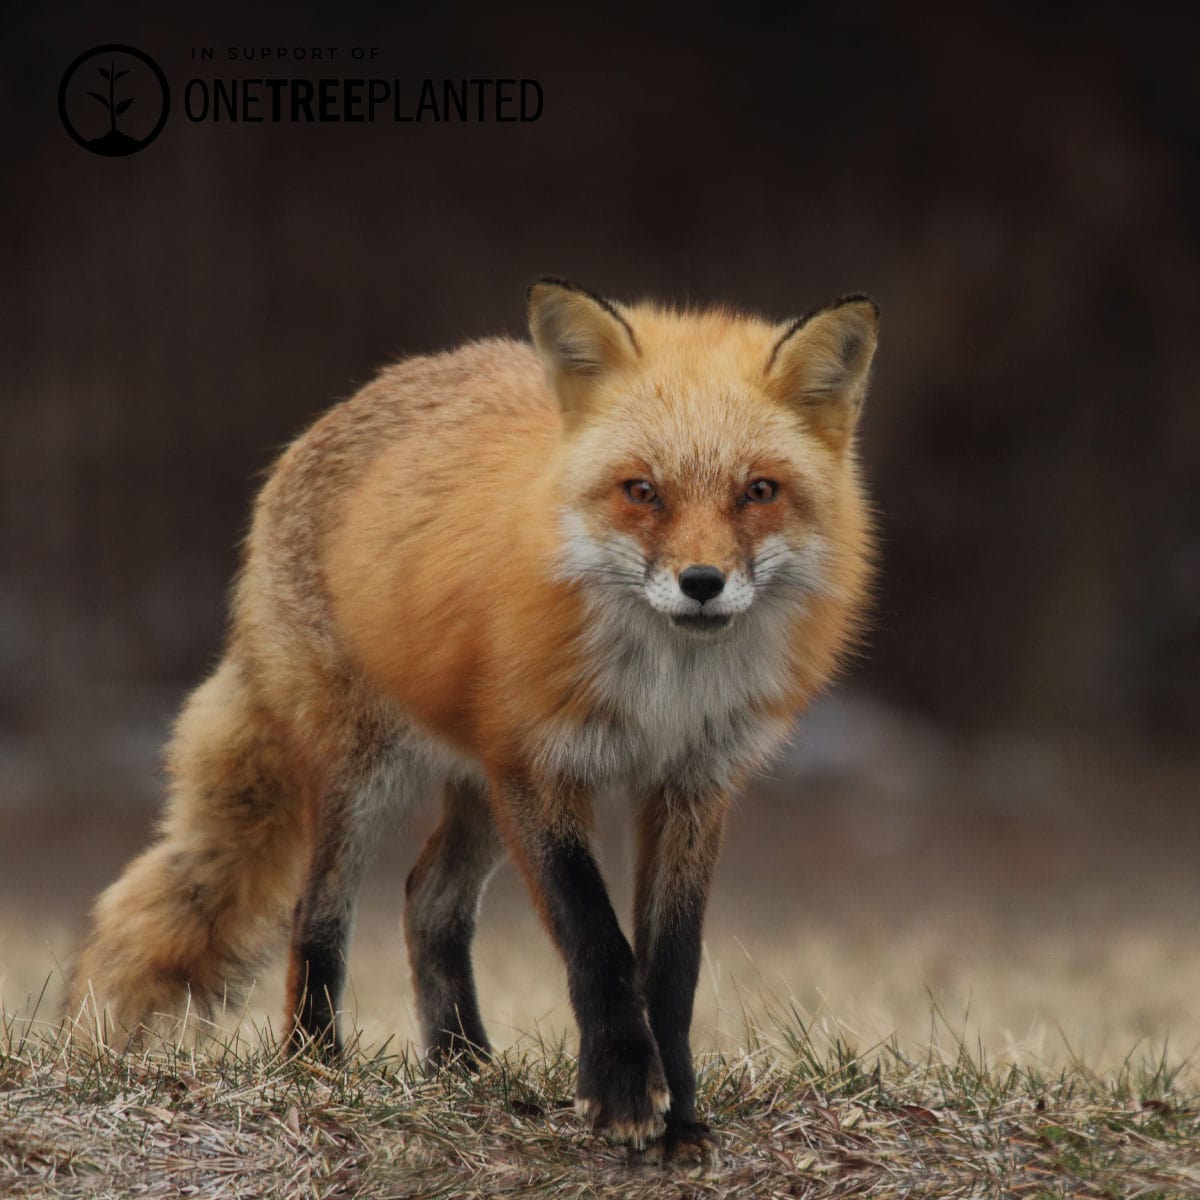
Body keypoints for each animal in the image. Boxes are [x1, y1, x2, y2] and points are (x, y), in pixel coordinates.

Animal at [67, 278, 878, 1158]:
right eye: (641, 491)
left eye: (759, 491)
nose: (702, 582)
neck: (664, 690)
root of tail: (344, 407)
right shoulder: (541, 766)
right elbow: (597, 941)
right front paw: (624, 1091)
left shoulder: (692, 784)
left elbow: (672, 964)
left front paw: (682, 1116)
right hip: (370, 774)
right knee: (317, 914)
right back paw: (317, 1066)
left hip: (481, 789)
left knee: (427, 902)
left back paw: (463, 1068)